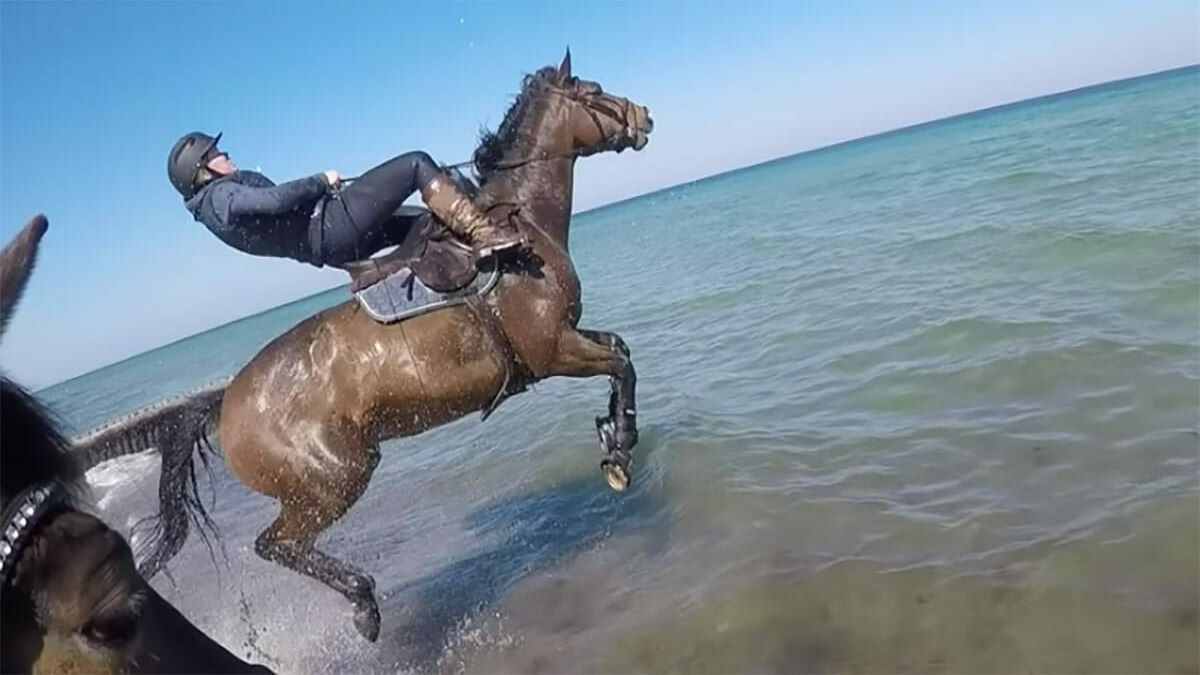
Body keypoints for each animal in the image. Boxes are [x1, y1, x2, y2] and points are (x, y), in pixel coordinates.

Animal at [72, 53, 657, 638]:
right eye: (595, 91)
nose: (644, 116)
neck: (523, 224)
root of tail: (227, 401)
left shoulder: (569, 341)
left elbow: (621, 351)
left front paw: (611, 436)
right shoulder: (553, 351)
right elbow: (621, 363)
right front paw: (621, 444)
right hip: (335, 480)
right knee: (273, 544)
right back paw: (363, 602)